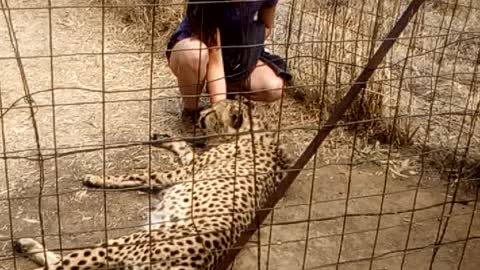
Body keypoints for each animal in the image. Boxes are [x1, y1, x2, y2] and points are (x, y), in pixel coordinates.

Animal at [15, 99, 292, 270]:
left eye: (214, 112)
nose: (202, 113)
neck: (256, 133)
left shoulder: (182, 172)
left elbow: (141, 174)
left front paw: (98, 178)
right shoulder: (190, 164)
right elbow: (183, 145)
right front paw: (164, 136)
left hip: (126, 244)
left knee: (62, 265)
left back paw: (29, 246)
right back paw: (27, 245)